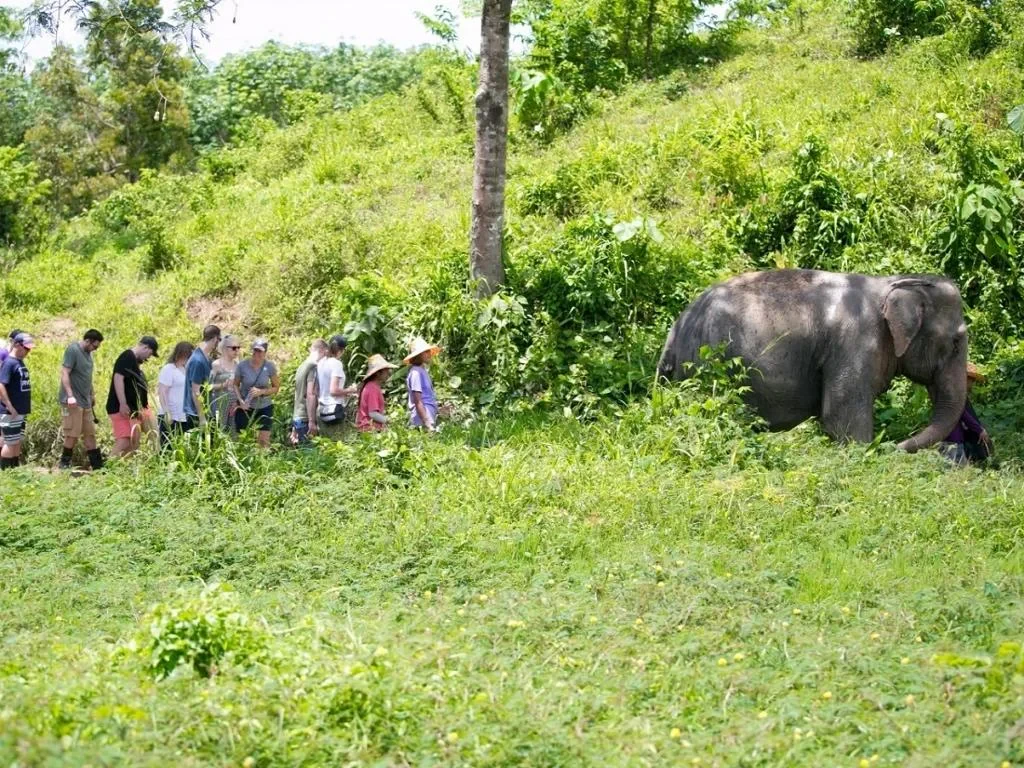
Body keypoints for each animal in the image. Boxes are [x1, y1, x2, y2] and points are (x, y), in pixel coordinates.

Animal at [656, 269, 968, 452]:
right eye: (956, 343)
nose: (893, 445)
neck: (891, 283)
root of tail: (676, 330)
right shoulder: (855, 342)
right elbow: (842, 421)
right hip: (708, 364)